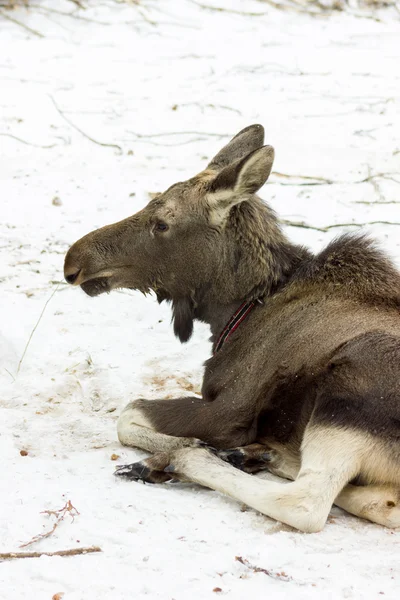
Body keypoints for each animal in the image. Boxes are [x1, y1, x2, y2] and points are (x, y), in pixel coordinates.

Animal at [65, 124, 400, 532]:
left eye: (162, 223)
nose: (74, 261)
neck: (237, 312)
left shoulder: (230, 410)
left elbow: (128, 415)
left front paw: (189, 447)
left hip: (349, 387)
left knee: (306, 503)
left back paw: (189, 460)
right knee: (378, 501)